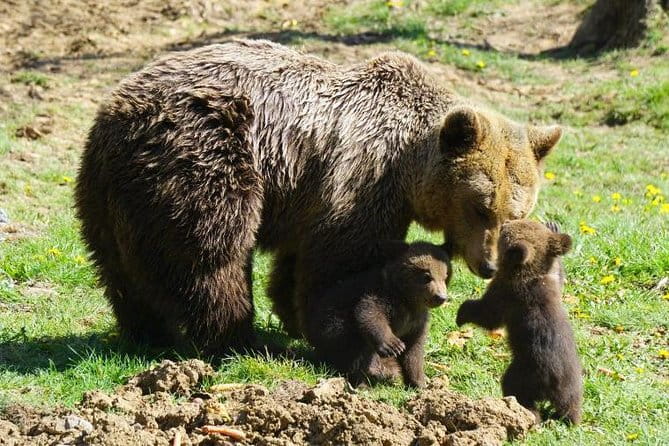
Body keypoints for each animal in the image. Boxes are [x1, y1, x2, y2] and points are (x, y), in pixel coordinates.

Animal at [75, 38, 562, 353]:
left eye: (514, 213)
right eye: (480, 206)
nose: (489, 265)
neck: (406, 164)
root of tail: (116, 113)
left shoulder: (311, 192)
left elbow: (296, 261)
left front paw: (292, 316)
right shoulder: (361, 181)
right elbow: (341, 263)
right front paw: (342, 333)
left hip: (106, 196)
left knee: (119, 267)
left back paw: (146, 331)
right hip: (207, 156)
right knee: (211, 255)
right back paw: (235, 337)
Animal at [305, 241, 451, 388]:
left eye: (444, 277)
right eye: (427, 276)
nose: (441, 297)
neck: (406, 300)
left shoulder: (417, 322)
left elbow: (414, 351)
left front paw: (419, 383)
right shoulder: (381, 296)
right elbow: (369, 313)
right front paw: (393, 345)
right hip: (334, 330)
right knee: (354, 350)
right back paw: (363, 381)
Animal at [456, 220, 582, 424]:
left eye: (505, 232)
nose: (505, 222)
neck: (528, 274)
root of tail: (553, 383)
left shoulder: (505, 292)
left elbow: (489, 315)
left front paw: (461, 313)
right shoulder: (551, 281)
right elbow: (559, 275)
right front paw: (554, 227)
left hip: (526, 371)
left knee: (516, 389)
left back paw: (524, 414)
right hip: (571, 381)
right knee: (571, 403)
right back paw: (570, 418)